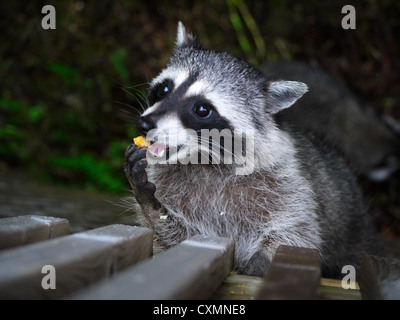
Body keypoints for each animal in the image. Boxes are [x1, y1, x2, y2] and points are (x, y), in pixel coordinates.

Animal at [125, 22, 382, 278]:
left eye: (202, 109)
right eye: (164, 89)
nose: (144, 124)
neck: (206, 161)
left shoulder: (287, 182)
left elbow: (297, 234)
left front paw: (262, 261)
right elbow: (178, 241)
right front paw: (151, 204)